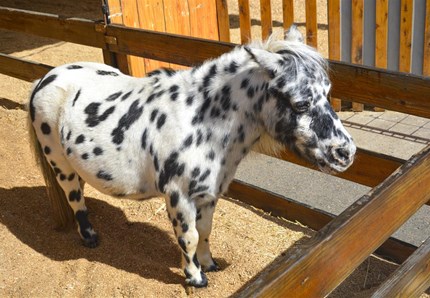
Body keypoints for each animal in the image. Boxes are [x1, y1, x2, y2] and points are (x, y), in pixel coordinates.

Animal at [27, 26, 356, 288]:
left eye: (327, 92)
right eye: (301, 103)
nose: (346, 153)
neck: (200, 123)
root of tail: (46, 78)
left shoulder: (208, 195)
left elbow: (205, 231)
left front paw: (209, 264)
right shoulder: (178, 196)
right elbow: (189, 237)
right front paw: (196, 278)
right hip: (60, 164)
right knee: (74, 197)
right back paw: (90, 236)